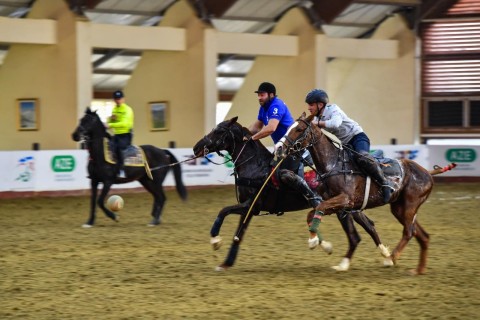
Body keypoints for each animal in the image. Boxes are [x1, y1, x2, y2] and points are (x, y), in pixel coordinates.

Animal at [191, 116, 390, 272]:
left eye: (218, 131)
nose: (196, 148)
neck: (255, 166)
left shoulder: (251, 205)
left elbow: (226, 215)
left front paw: (216, 242)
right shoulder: (249, 208)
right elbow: (232, 227)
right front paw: (224, 260)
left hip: (344, 206)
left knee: (359, 232)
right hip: (349, 207)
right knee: (365, 228)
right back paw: (384, 255)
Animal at [276, 113, 456, 276]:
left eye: (299, 129)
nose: (278, 148)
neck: (333, 165)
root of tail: (427, 172)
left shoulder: (345, 200)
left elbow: (320, 209)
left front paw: (317, 242)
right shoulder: (337, 205)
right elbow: (313, 213)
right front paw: (317, 242)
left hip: (410, 205)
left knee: (409, 232)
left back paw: (390, 258)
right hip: (400, 207)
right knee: (423, 236)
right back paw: (418, 270)